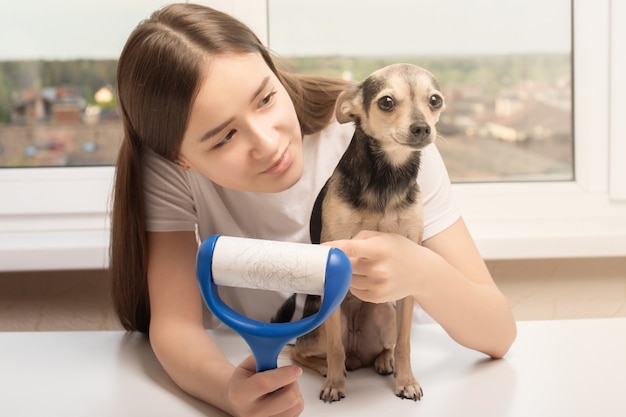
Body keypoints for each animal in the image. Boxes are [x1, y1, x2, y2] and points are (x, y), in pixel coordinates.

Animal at [292, 63, 444, 402]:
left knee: (383, 347)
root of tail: (357, 352)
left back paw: (383, 361)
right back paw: (327, 369)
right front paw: (335, 384)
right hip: (321, 324)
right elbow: (334, 348)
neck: (387, 176)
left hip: (385, 313)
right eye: (386, 102)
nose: (422, 128)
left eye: (435, 100)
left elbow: (405, 343)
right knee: (305, 352)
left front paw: (406, 380)